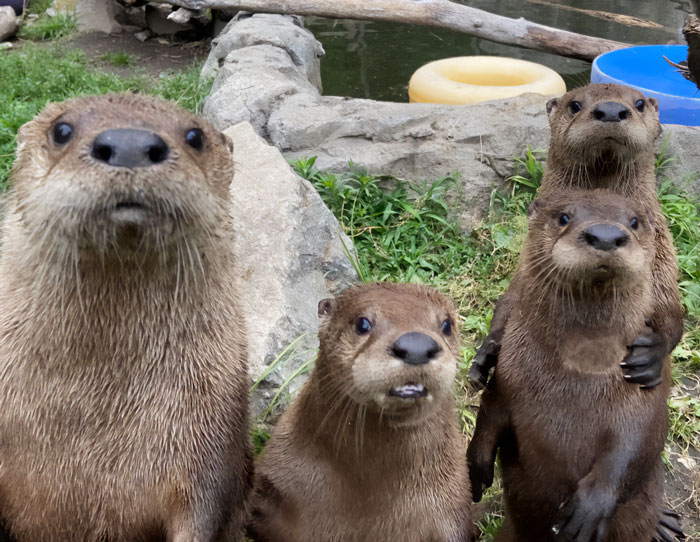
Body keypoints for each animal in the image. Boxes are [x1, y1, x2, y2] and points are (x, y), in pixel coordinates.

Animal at [467, 189, 671, 542]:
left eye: (634, 222)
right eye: (563, 217)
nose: (606, 235)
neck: (578, 371)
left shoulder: (642, 395)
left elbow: (635, 443)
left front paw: (590, 507)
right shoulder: (507, 378)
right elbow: (489, 410)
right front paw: (477, 465)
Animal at [470, 84, 683, 391]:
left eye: (640, 103)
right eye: (575, 105)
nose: (610, 110)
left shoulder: (662, 257)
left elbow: (671, 311)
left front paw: (650, 356)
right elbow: (510, 301)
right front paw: (486, 354)